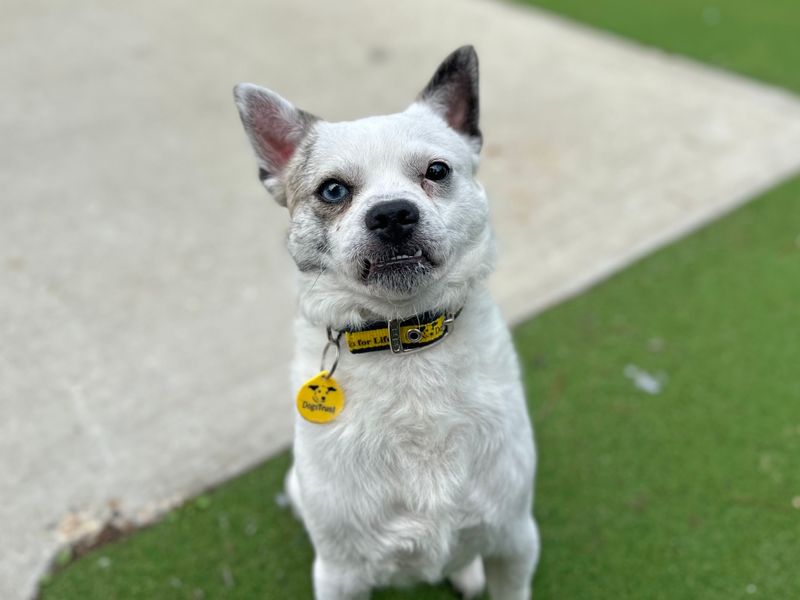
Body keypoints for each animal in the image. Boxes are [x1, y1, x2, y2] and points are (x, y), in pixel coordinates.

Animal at [234, 44, 540, 596]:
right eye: (333, 191)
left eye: (437, 171)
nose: (393, 213)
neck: (406, 341)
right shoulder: (339, 574)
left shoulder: (515, 542)